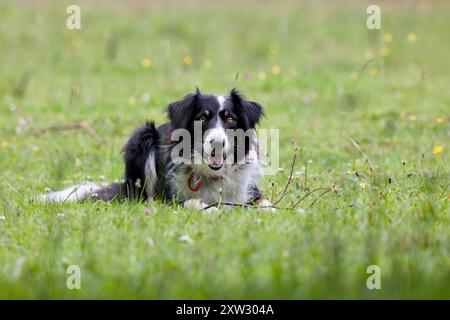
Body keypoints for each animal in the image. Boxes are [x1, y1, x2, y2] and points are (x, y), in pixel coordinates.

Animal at [39, 89, 270, 211]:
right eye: (202, 118)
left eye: (230, 119)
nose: (217, 143)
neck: (212, 175)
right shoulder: (174, 197)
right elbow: (194, 202)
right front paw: (212, 209)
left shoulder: (248, 191)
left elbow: (265, 202)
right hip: (142, 137)